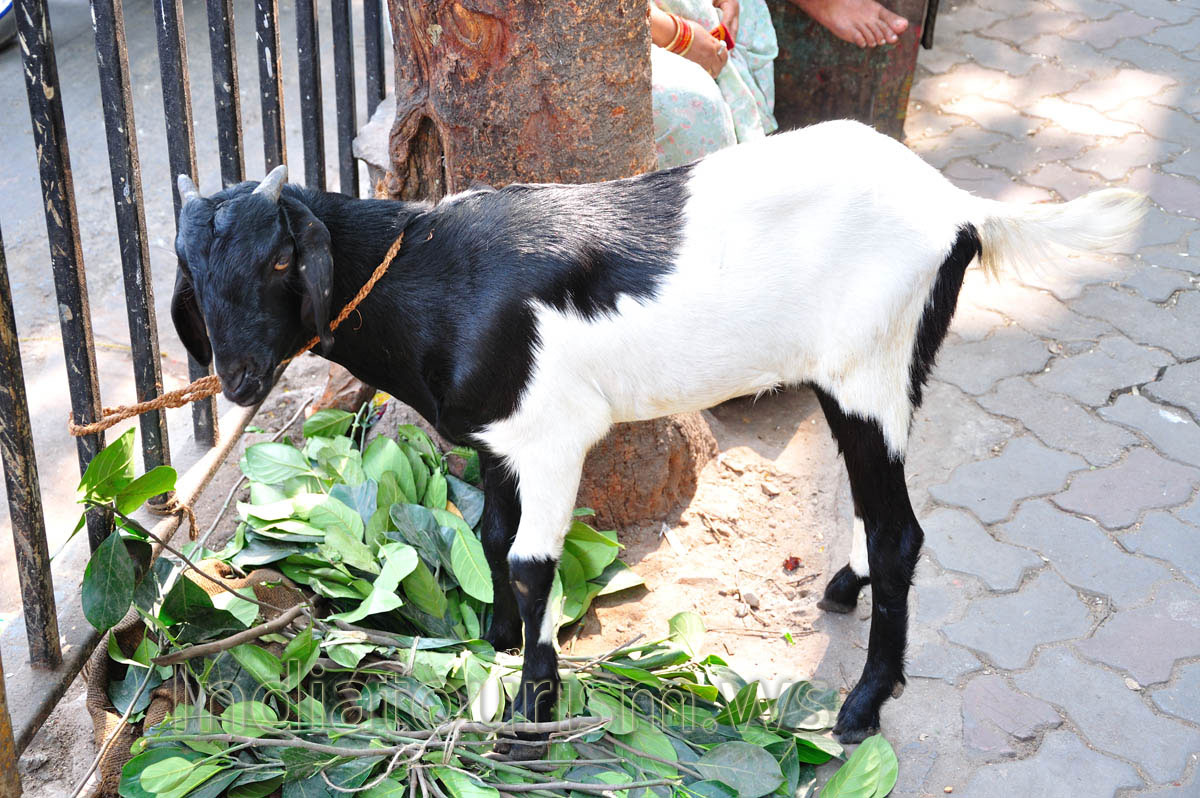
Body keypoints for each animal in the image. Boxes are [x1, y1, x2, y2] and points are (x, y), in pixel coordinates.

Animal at [172, 120, 1146, 745]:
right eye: (187, 266)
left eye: (281, 259)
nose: (242, 380)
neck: (435, 271)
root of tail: (958, 206)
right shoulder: (496, 438)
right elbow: (489, 535)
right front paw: (490, 646)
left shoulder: (556, 435)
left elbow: (530, 564)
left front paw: (531, 708)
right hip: (888, 364)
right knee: (878, 511)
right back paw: (842, 588)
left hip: (865, 369)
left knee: (902, 530)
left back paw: (865, 705)